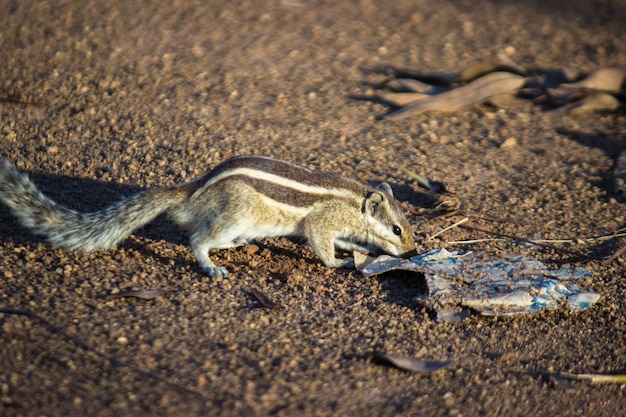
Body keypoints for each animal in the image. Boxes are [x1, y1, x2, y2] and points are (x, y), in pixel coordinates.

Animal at [1, 155, 420, 276]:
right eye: (397, 229)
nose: (414, 253)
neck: (355, 201)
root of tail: (191, 191)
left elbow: (344, 239)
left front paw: (351, 250)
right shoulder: (321, 222)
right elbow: (320, 242)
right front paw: (339, 262)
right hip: (235, 214)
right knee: (198, 239)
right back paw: (210, 264)